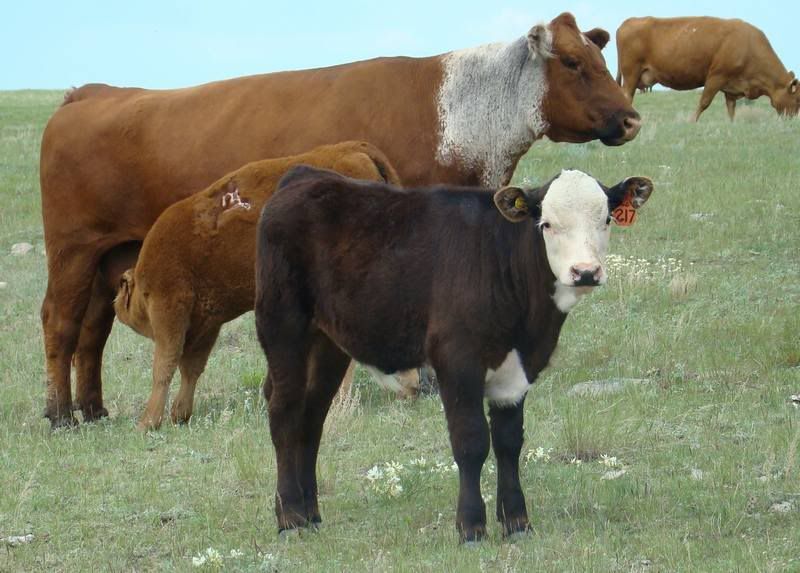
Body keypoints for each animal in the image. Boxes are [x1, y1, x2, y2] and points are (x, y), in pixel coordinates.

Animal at [109, 142, 419, 431]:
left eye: (126, 292)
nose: (116, 302)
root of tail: (354, 149)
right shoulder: (206, 323)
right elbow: (191, 367)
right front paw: (180, 414)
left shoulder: (170, 306)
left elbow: (164, 365)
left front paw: (148, 422)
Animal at [254, 166, 654, 541]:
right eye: (547, 224)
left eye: (606, 220)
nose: (585, 272)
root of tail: (303, 176)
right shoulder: (457, 361)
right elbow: (471, 441)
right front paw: (471, 527)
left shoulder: (517, 371)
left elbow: (509, 443)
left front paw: (517, 522)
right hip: (283, 325)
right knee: (284, 410)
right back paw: (291, 517)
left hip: (329, 343)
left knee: (312, 417)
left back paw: (311, 514)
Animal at [616, 16, 800, 121]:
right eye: (798, 99)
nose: (792, 120)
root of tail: (628, 21)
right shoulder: (716, 77)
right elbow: (704, 102)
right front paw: (691, 121)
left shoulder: (731, 88)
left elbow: (731, 109)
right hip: (631, 75)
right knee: (626, 97)